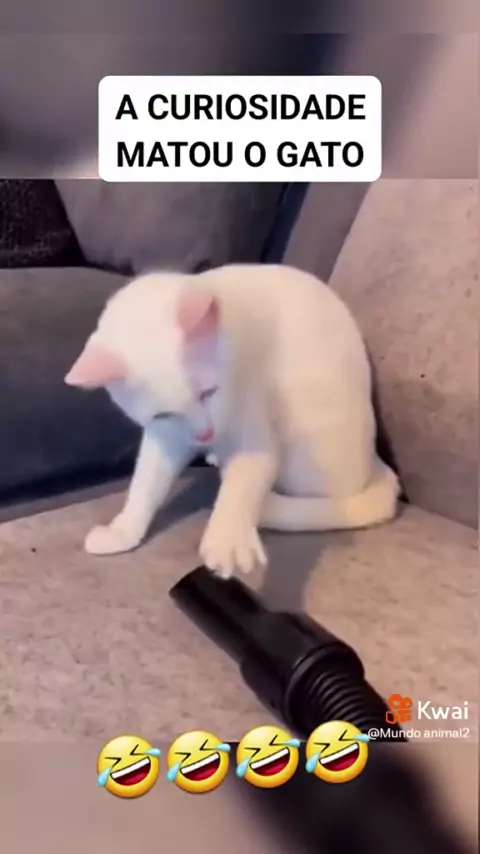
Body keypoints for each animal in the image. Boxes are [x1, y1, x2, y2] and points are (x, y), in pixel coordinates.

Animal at [65, 263, 400, 578]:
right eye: (163, 414)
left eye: (208, 392)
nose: (204, 434)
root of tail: (375, 461)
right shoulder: (166, 437)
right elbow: (146, 483)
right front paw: (122, 531)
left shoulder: (251, 422)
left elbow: (243, 480)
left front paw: (228, 539)